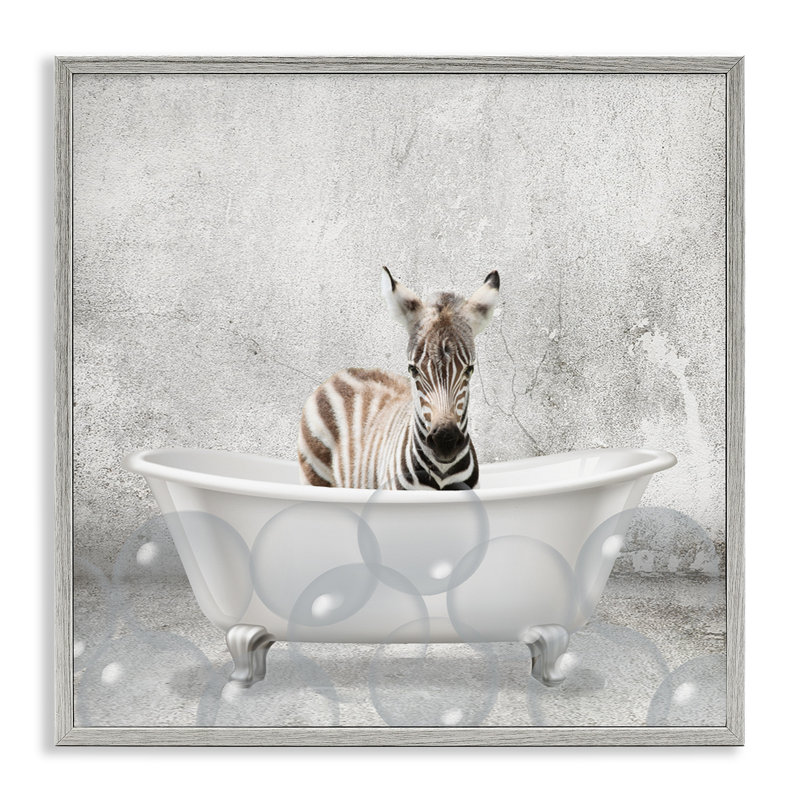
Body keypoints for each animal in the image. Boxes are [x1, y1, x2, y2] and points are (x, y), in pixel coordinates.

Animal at [298, 267, 500, 490]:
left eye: (469, 369)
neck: (442, 473)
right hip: (315, 474)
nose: (444, 442)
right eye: (413, 369)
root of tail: (340, 373)